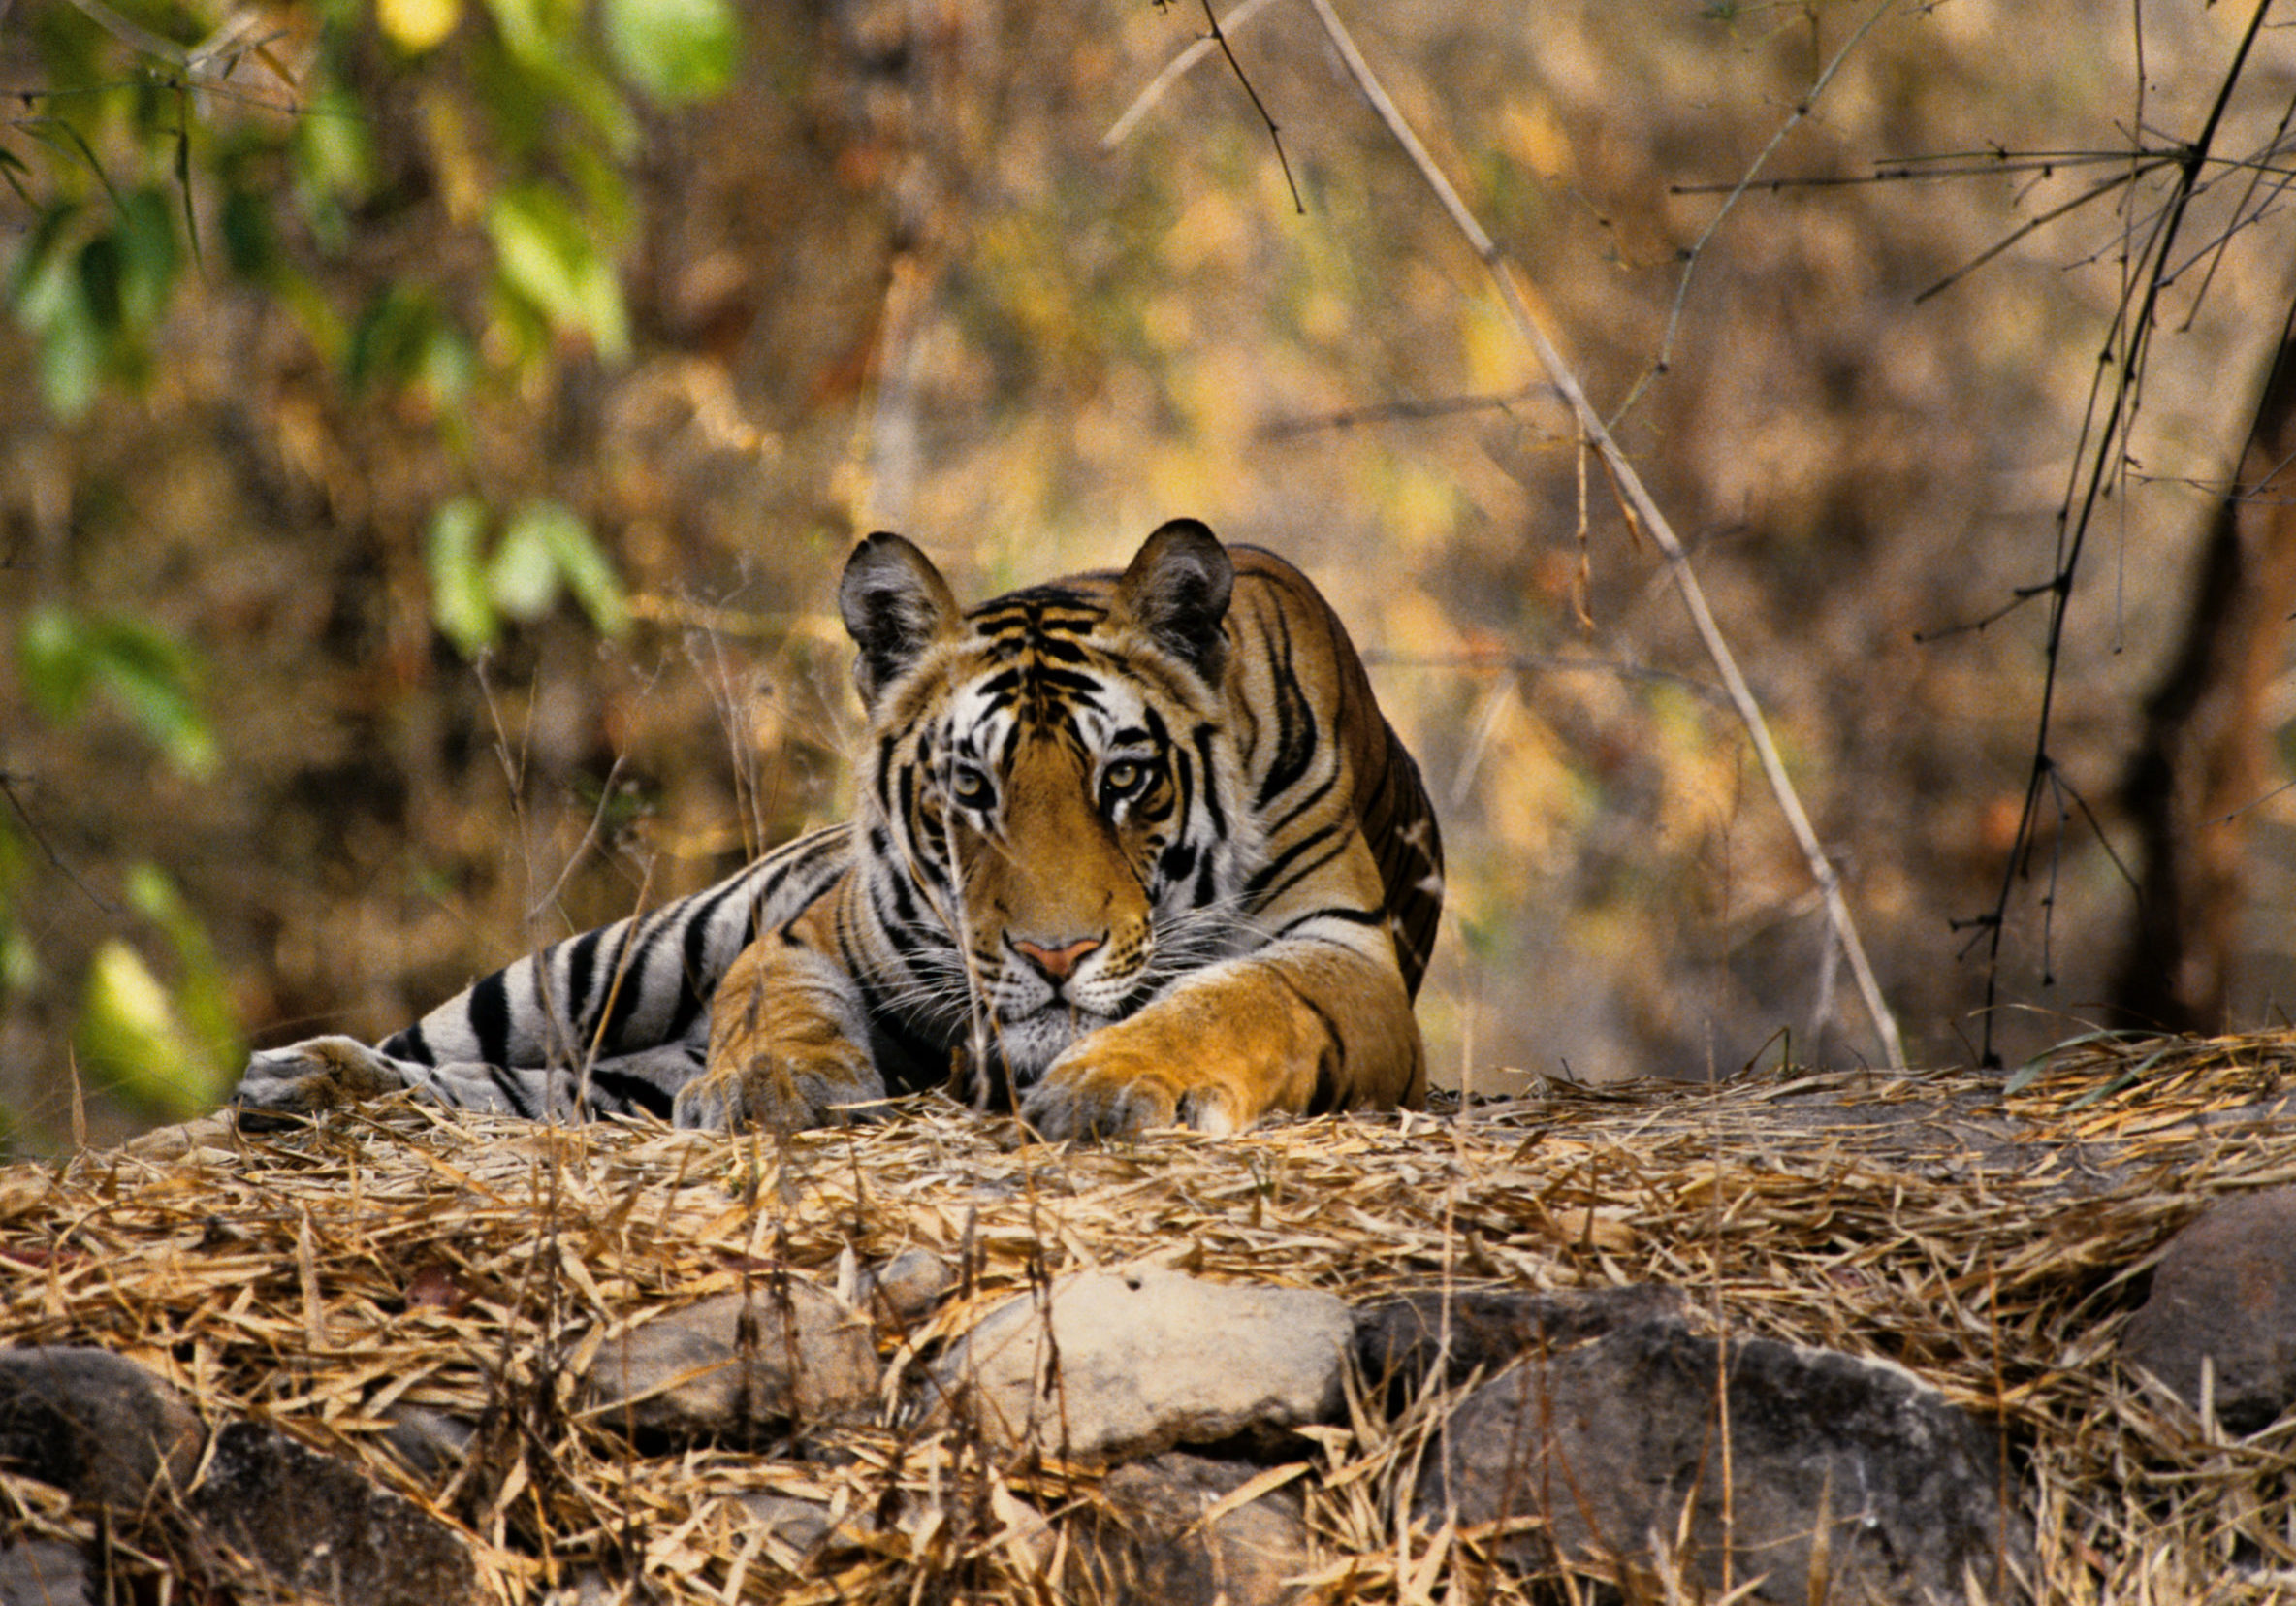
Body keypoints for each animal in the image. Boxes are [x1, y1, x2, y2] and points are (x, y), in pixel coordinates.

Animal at [238, 521, 1451, 1135]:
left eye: (1126, 779)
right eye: (970, 787)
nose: (1053, 955)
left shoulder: (1344, 955)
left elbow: (1235, 998)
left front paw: (1113, 1084)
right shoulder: (816, 931)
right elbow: (777, 1003)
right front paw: (774, 1086)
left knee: (546, 1095)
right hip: (618, 959)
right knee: (469, 1049)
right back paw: (294, 1081)